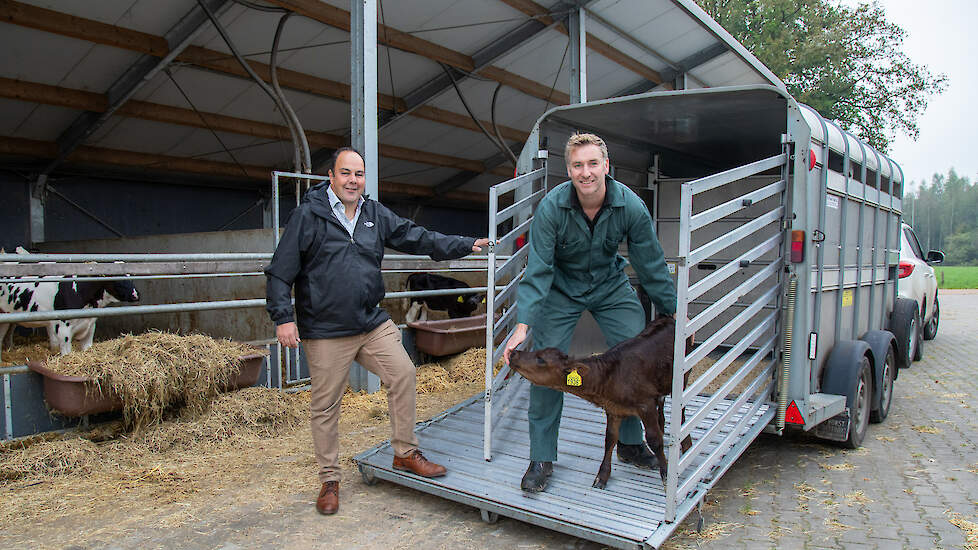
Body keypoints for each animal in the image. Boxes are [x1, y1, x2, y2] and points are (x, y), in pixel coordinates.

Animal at [0, 278, 139, 360]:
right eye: (118, 280)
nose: (136, 295)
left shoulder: (90, 326)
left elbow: (87, 347)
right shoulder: (62, 329)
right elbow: (66, 351)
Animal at [510, 316, 688, 490]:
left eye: (541, 359)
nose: (513, 353)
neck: (610, 378)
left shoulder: (645, 404)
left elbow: (654, 439)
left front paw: (666, 476)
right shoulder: (613, 409)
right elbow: (610, 439)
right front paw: (602, 477)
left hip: (683, 378)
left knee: (682, 414)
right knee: (662, 414)